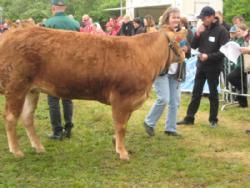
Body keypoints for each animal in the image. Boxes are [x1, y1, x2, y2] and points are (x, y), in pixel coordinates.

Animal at [0, 25, 186, 159]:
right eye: (181, 43)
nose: (187, 54)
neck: (145, 57)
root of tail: (10, 34)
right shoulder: (122, 98)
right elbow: (121, 126)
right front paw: (123, 152)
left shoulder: (130, 101)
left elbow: (122, 125)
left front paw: (117, 144)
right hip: (16, 86)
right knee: (10, 117)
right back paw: (16, 151)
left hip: (31, 90)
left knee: (27, 117)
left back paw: (38, 147)